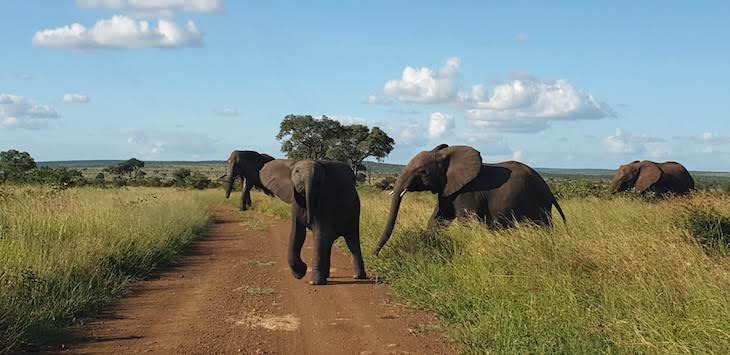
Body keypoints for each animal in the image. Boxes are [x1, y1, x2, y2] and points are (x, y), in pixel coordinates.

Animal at [372, 143, 564, 258]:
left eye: (423, 173)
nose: (375, 255)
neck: (445, 157)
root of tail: (547, 186)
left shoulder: (467, 192)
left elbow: (467, 223)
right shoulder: (447, 190)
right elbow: (437, 220)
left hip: (536, 204)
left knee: (540, 226)